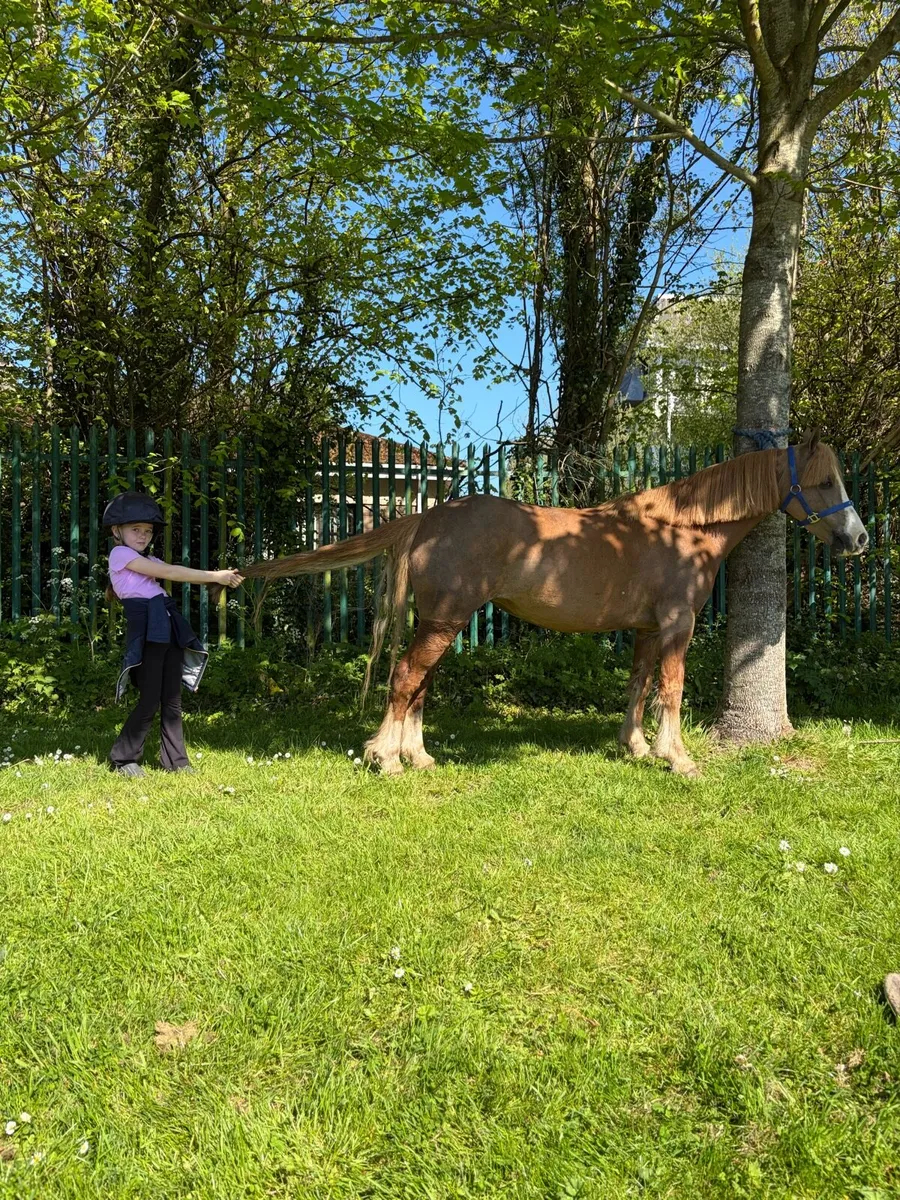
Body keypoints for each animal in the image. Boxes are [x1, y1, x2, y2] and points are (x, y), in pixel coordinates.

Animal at [233, 435, 867, 777]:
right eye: (825, 482)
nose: (858, 539)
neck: (680, 529)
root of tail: (431, 517)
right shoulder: (676, 624)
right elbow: (673, 687)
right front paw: (679, 759)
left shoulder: (645, 629)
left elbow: (638, 684)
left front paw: (635, 748)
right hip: (444, 620)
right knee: (407, 676)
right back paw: (385, 757)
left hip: (439, 620)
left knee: (419, 683)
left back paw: (418, 756)